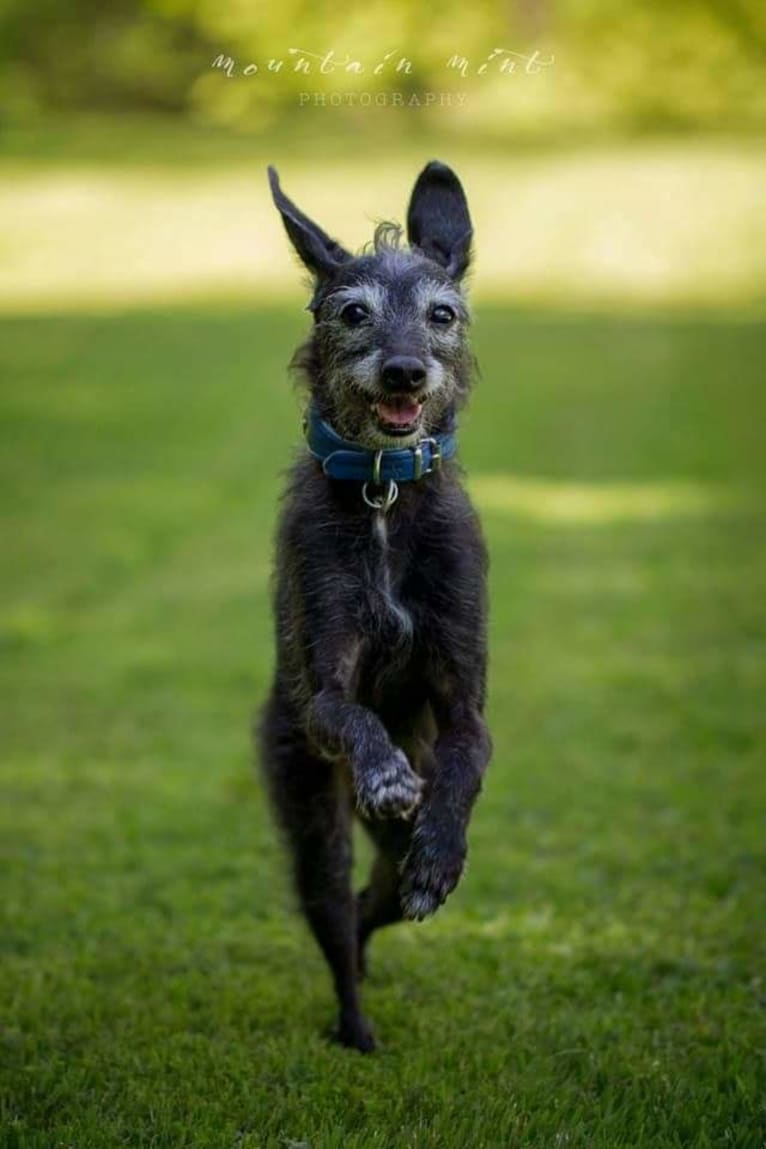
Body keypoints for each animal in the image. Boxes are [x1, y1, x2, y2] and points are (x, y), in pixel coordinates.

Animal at [257, 159, 493, 1052]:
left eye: (442, 313)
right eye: (353, 312)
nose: (404, 371)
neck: (385, 492)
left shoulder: (465, 709)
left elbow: (465, 765)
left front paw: (441, 854)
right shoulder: (323, 692)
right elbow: (351, 711)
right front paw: (386, 771)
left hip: (382, 861)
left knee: (375, 902)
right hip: (312, 816)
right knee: (336, 912)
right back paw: (354, 1026)